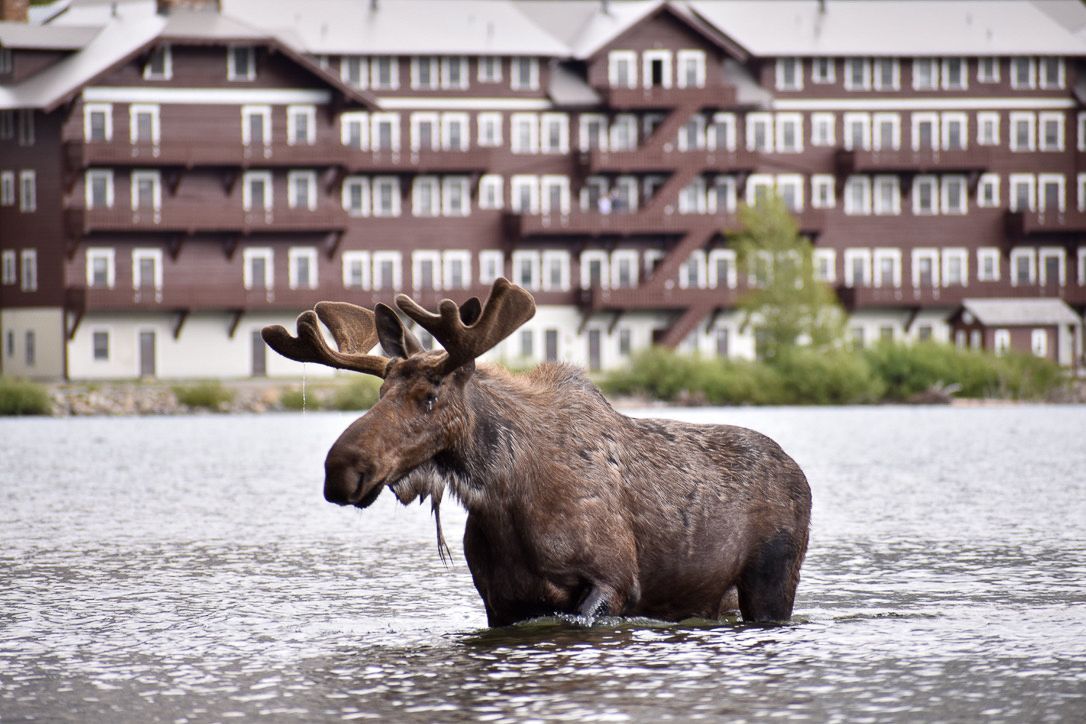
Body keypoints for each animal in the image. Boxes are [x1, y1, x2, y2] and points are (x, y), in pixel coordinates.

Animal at [262, 278, 811, 626]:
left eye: (430, 396)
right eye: (380, 393)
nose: (341, 470)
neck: (506, 501)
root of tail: (799, 473)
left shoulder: (612, 582)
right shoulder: (500, 600)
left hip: (772, 580)